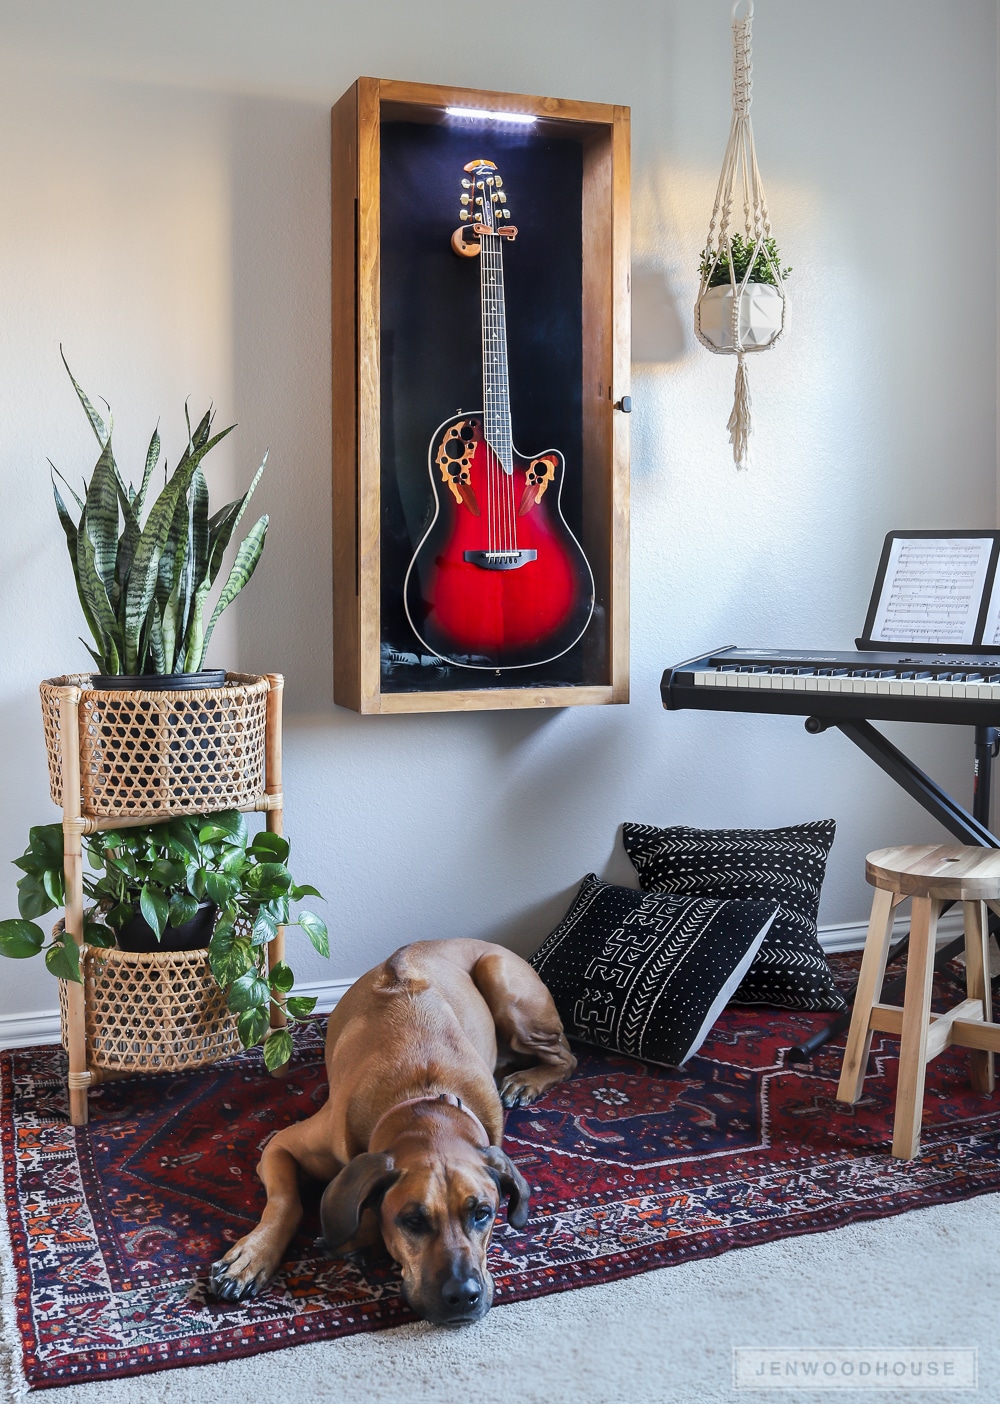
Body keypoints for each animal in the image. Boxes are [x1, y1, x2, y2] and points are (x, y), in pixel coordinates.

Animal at [206, 937, 573, 1319]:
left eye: (483, 1213)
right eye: (412, 1220)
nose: (463, 1295)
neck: (424, 1101)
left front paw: (356, 1236)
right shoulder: (280, 1146)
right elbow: (286, 1202)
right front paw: (252, 1257)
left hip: (504, 982)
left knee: (567, 1055)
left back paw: (526, 1081)